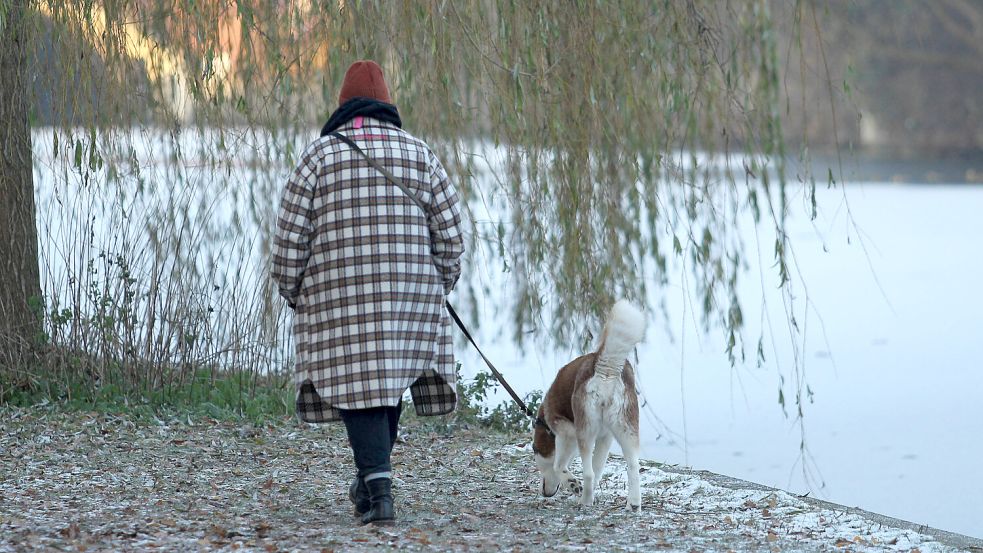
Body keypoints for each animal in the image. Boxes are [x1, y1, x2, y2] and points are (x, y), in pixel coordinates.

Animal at [536, 300, 648, 512]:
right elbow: (598, 469)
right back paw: (633, 504)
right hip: (627, 430)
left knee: (587, 472)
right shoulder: (605, 437)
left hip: (585, 433)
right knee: (632, 467)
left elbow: (559, 466)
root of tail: (605, 367)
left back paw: (585, 500)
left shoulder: (566, 431)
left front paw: (572, 483)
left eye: (536, 454)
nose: (544, 494)